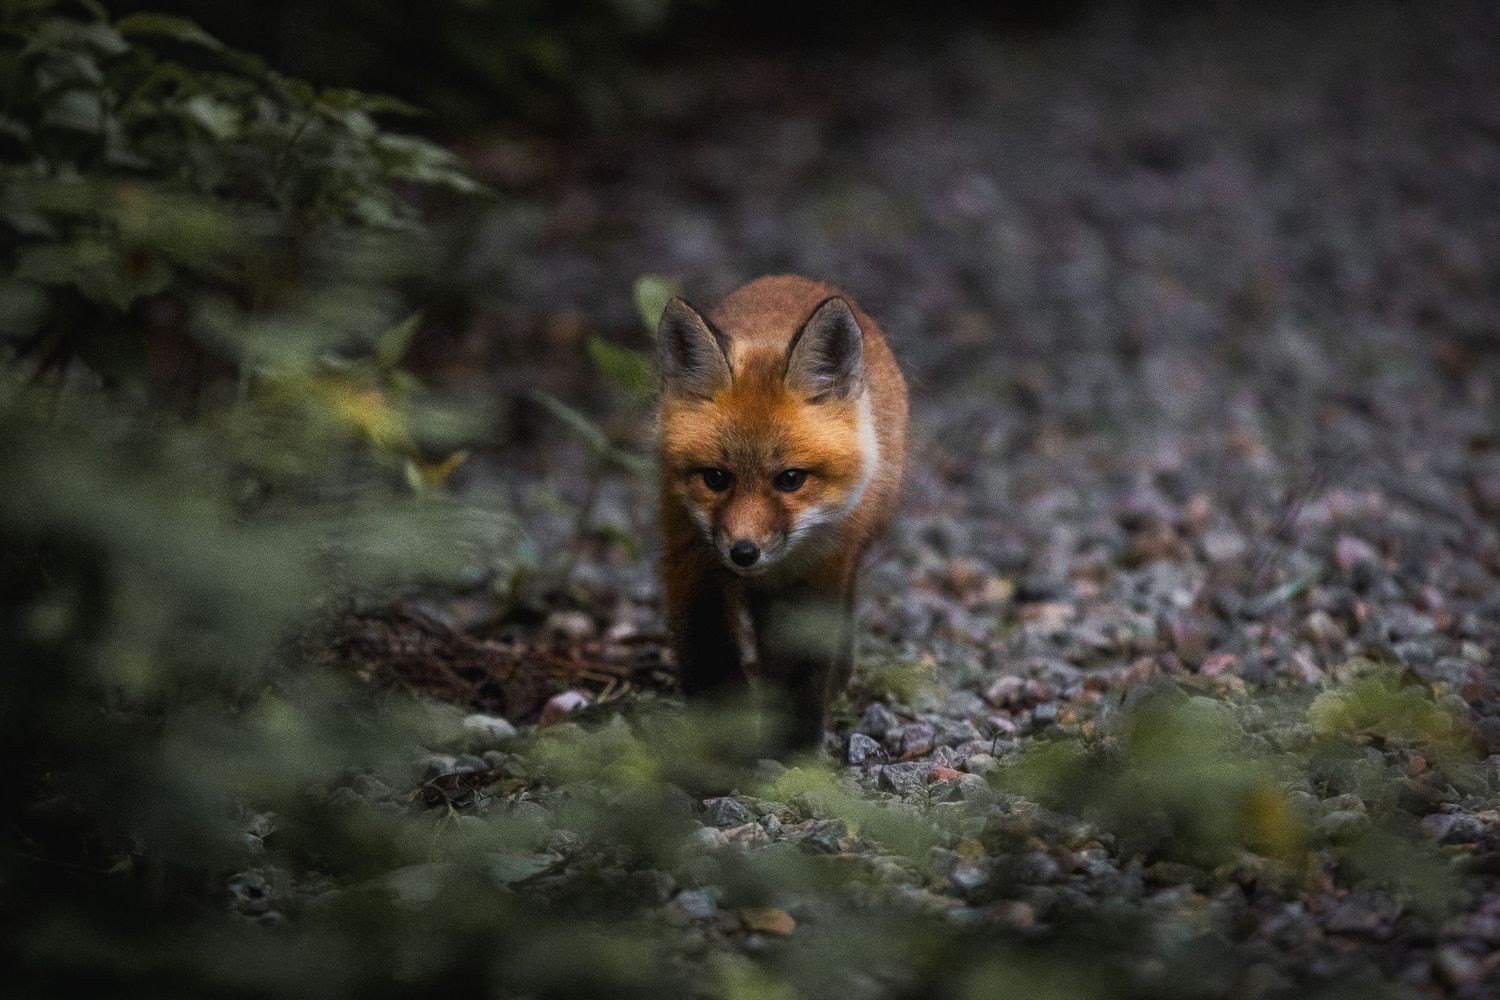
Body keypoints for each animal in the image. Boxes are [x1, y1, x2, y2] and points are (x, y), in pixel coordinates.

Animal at [655, 275, 908, 753]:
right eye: (716, 478)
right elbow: (710, 658)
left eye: (790, 479)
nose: (743, 552)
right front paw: (722, 748)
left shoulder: (820, 571)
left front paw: (795, 752)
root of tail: (794, 280)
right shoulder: (691, 560)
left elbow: (803, 668)